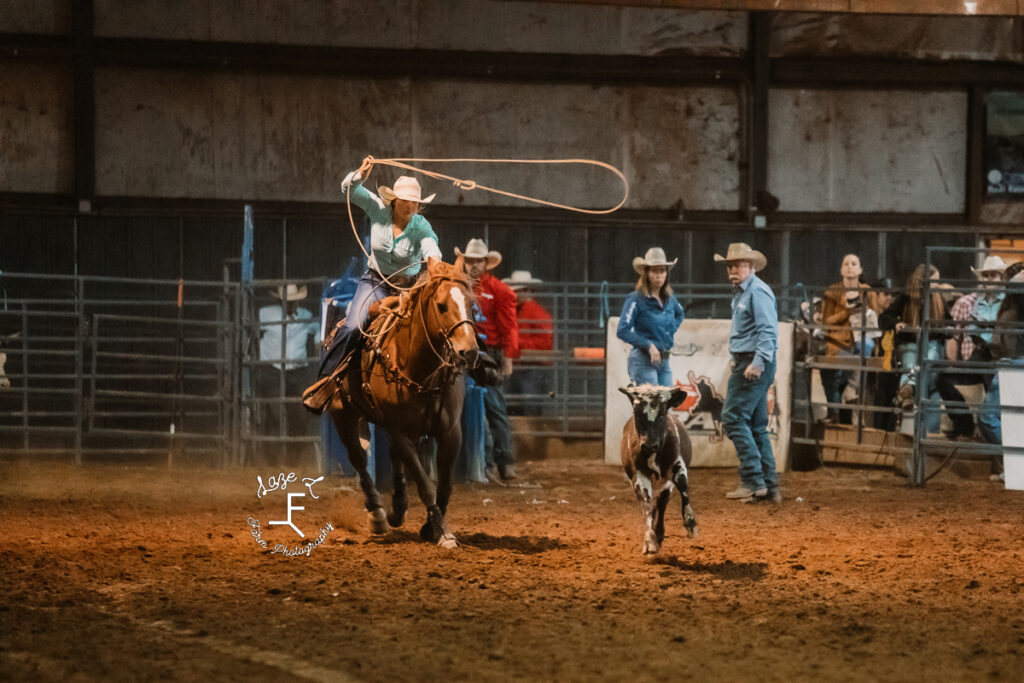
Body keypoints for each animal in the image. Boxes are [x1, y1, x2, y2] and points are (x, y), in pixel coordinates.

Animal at [329, 258, 481, 548]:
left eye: (471, 304)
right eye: (442, 305)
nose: (469, 351)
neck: (419, 367)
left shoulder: (451, 432)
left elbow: (444, 485)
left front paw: (432, 527)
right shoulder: (398, 429)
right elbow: (424, 483)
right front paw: (441, 532)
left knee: (392, 457)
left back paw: (398, 508)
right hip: (342, 415)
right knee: (359, 459)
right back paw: (377, 514)